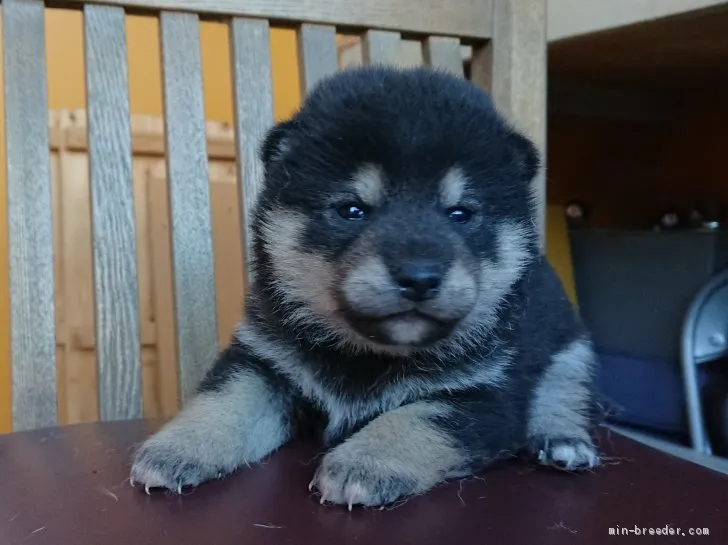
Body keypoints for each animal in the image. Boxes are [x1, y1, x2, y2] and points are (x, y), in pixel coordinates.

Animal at [131, 66, 604, 508]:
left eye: (461, 214)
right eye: (352, 210)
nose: (419, 277)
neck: (368, 355)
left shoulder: (487, 393)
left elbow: (417, 418)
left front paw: (366, 462)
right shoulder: (264, 363)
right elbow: (224, 401)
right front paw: (177, 447)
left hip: (569, 345)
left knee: (561, 390)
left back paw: (562, 441)